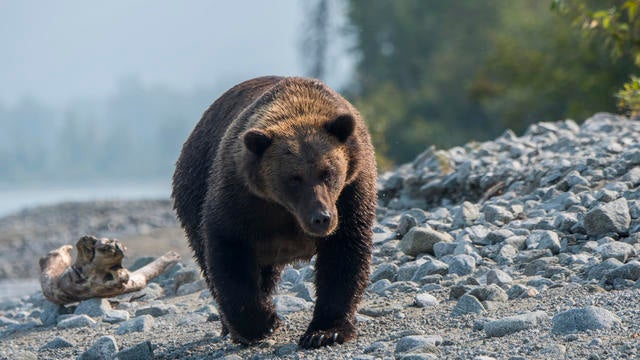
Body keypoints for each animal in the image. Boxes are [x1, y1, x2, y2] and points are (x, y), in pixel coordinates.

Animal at [172, 76, 378, 348]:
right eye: (294, 178)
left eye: (328, 172)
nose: (321, 218)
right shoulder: (241, 196)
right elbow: (229, 251)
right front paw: (262, 322)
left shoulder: (350, 191)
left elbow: (344, 253)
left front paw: (325, 332)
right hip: (193, 186)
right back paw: (230, 327)